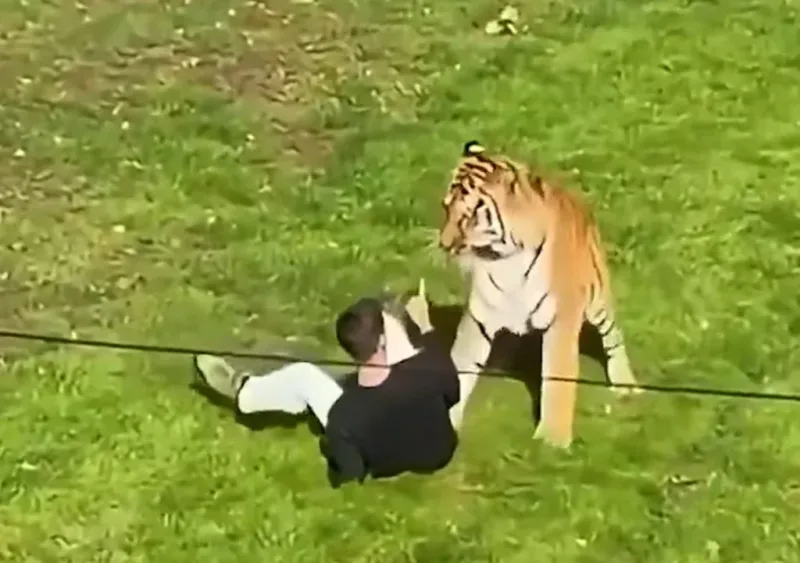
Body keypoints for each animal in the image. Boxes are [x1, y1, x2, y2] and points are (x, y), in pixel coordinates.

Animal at [437, 140, 641, 448]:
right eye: (446, 208)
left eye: (469, 216)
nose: (444, 244)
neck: (505, 258)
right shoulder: (479, 316)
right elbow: (461, 364)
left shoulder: (562, 319)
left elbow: (557, 377)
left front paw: (552, 440)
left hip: (598, 301)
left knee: (613, 336)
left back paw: (625, 383)